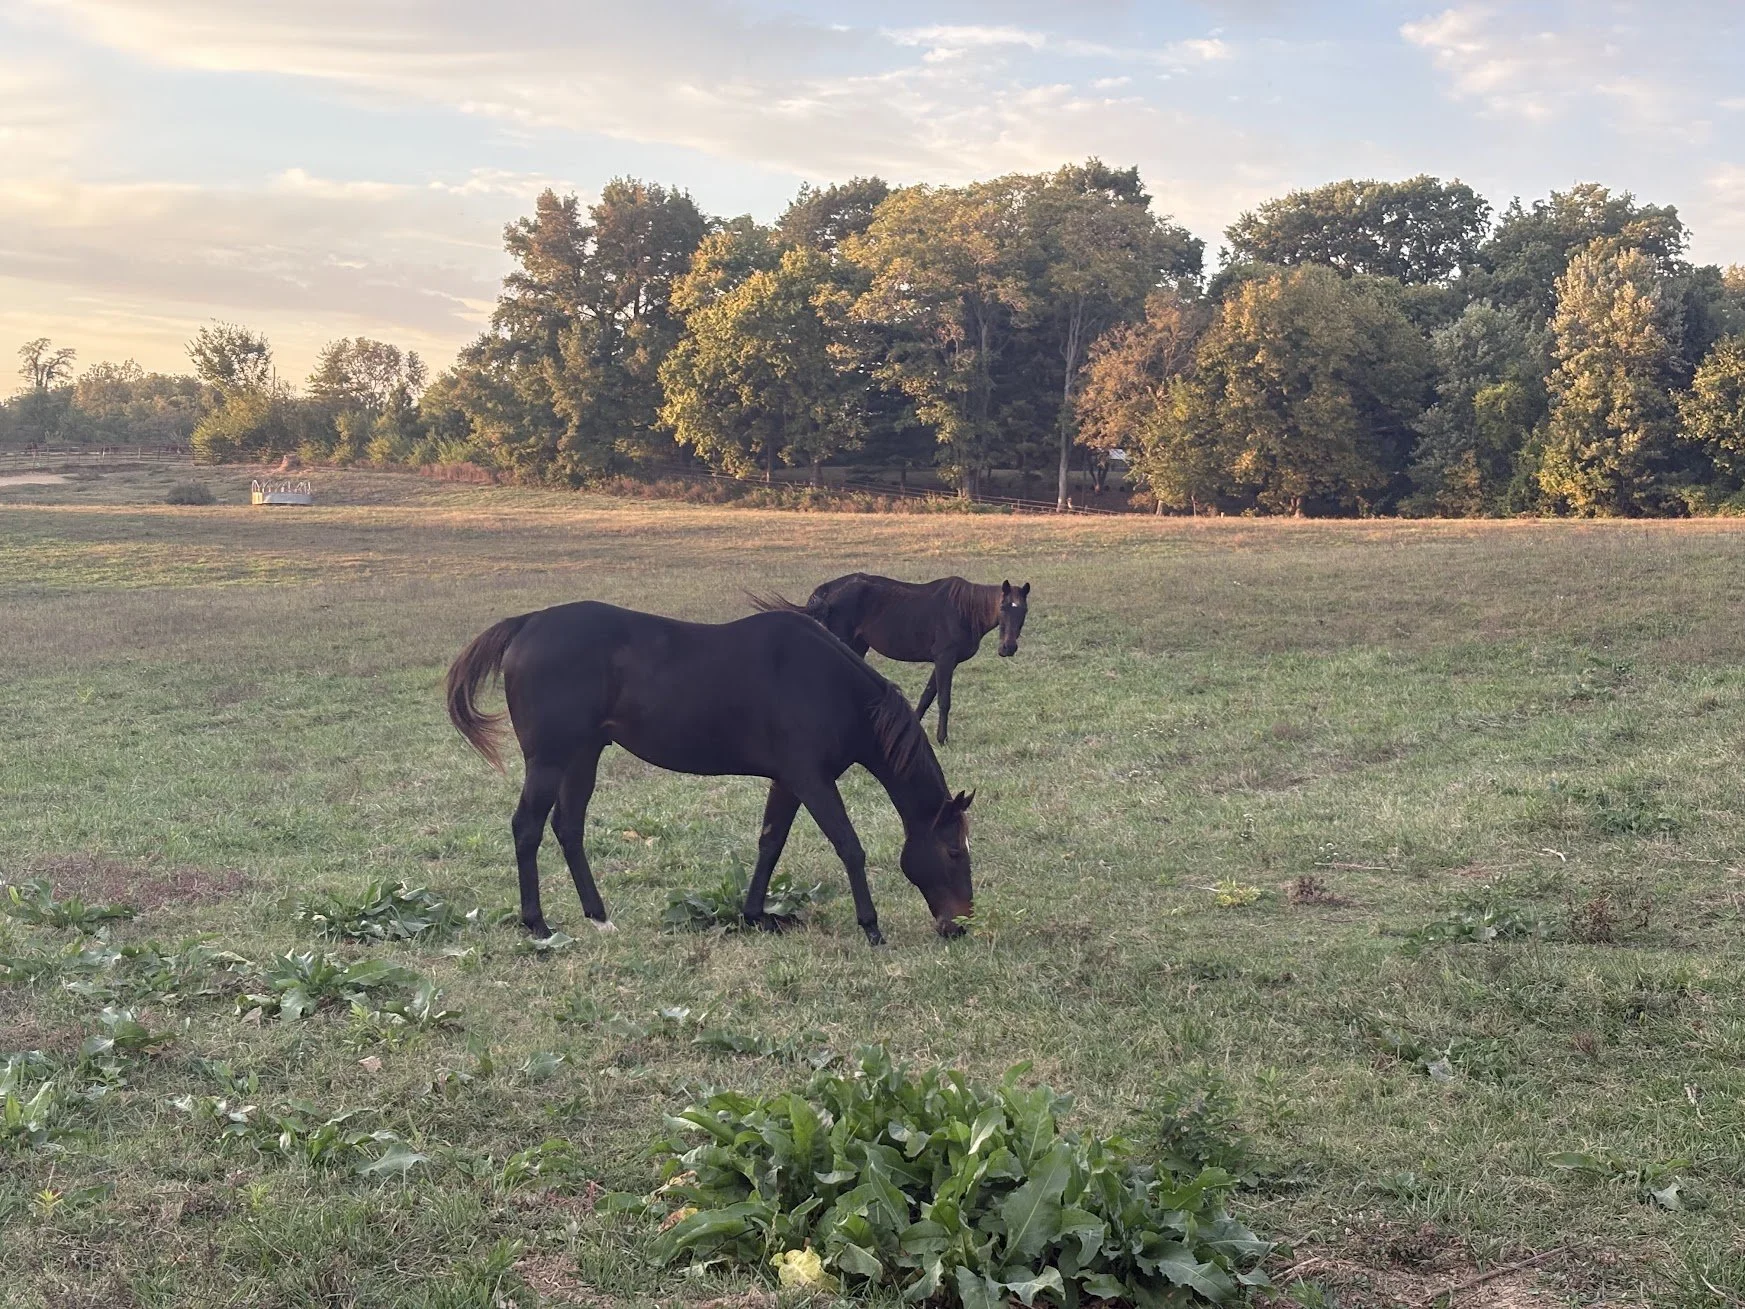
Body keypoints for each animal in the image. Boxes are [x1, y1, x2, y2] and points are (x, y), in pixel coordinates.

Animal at [446, 602, 975, 946]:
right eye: (953, 851)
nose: (961, 923)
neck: (829, 684)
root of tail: (526, 624)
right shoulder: (812, 780)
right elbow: (849, 846)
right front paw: (871, 926)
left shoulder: (789, 781)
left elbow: (770, 842)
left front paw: (755, 915)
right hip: (549, 760)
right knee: (527, 828)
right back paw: (537, 925)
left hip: (583, 756)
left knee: (568, 827)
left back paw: (599, 918)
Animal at [752, 575, 1030, 745]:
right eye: (1003, 607)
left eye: (1023, 610)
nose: (1008, 648)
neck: (964, 610)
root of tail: (827, 590)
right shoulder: (945, 658)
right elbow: (943, 700)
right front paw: (942, 739)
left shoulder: (941, 661)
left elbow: (926, 697)